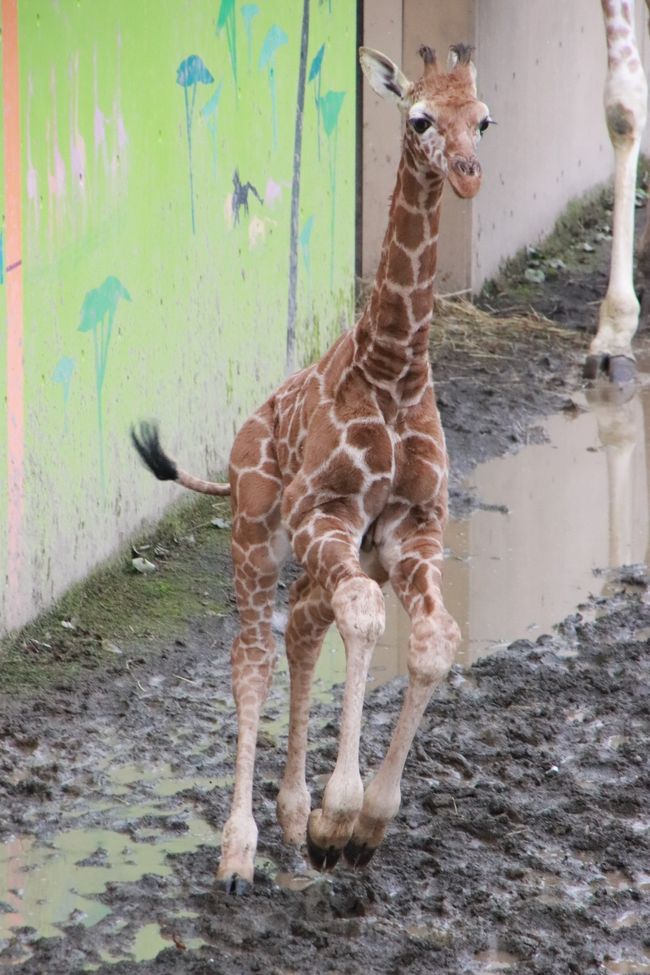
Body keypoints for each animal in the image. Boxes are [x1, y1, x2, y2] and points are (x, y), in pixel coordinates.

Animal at [132, 47, 488, 900]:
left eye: (484, 119)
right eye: (419, 118)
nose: (466, 174)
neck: (393, 368)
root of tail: (242, 437)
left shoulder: (409, 528)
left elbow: (433, 638)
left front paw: (355, 827)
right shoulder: (322, 512)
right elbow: (365, 618)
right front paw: (341, 812)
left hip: (325, 554)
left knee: (300, 631)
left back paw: (295, 820)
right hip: (257, 533)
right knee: (253, 660)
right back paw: (241, 852)